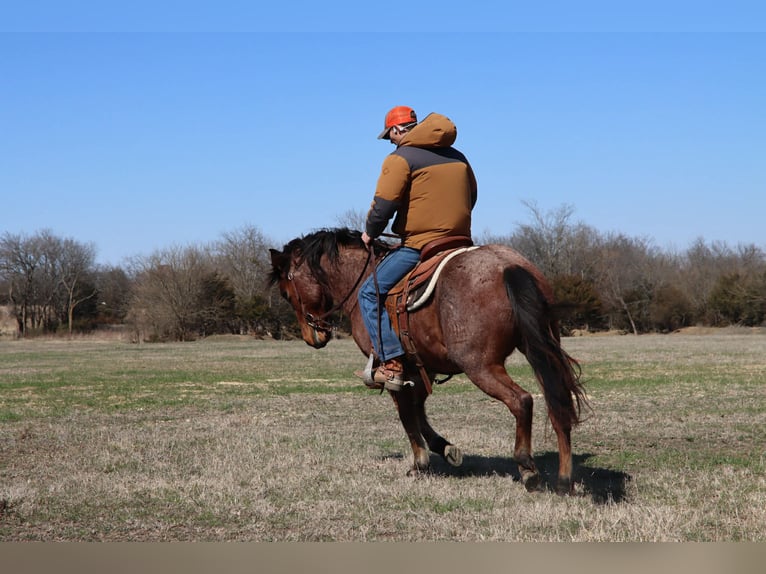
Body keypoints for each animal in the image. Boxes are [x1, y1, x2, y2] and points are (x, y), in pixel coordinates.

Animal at [269, 228, 587, 494]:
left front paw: (420, 462)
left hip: (480, 366)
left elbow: (406, 414)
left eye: (286, 292)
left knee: (522, 401)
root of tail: (508, 264)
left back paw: (527, 467)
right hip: (542, 351)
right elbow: (419, 412)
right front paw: (444, 447)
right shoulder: (422, 368)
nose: (313, 336)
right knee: (558, 405)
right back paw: (564, 479)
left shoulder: (394, 371)